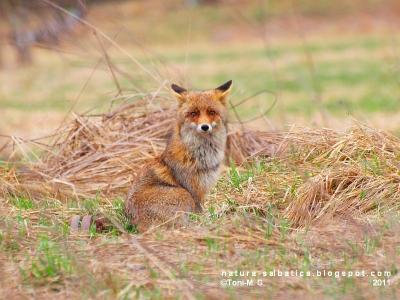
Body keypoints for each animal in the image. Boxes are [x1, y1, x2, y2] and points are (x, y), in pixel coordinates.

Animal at [124, 79, 231, 232]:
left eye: (211, 112)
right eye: (193, 113)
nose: (205, 127)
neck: (203, 155)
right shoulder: (194, 191)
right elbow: (200, 213)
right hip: (184, 195)